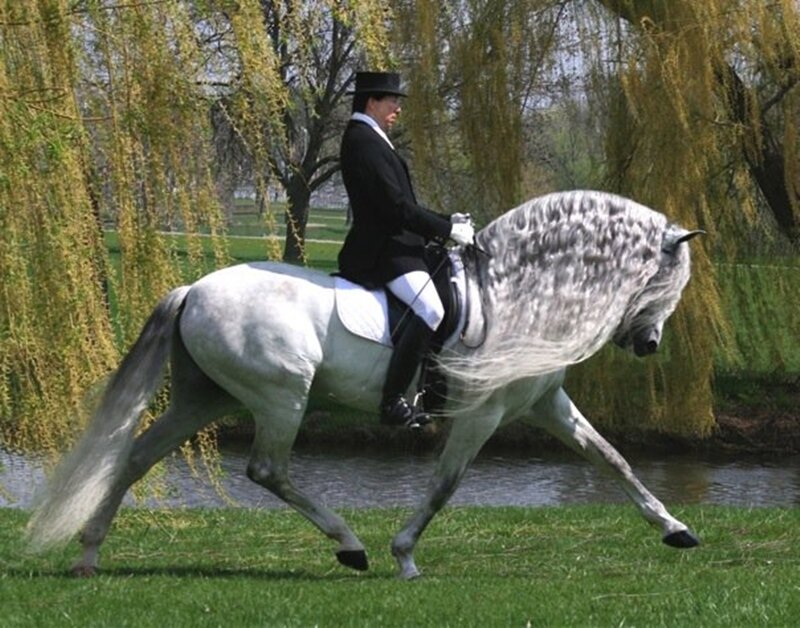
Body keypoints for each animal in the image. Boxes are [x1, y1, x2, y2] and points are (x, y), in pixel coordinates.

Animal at [26, 190, 703, 579]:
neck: (519, 295)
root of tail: (193, 288)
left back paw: (88, 554)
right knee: (266, 470)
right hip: (281, 397)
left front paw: (676, 529)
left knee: (137, 456)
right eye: (669, 279)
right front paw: (404, 555)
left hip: (205, 398)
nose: (649, 345)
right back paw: (351, 545)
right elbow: (445, 486)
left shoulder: (544, 402)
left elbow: (613, 459)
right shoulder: (480, 416)